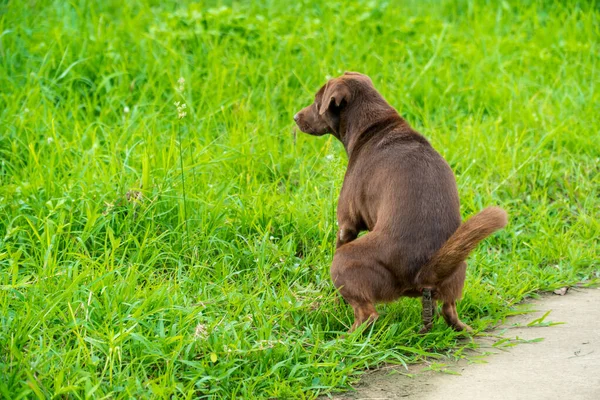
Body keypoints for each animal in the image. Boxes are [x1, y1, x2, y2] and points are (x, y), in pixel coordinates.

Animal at [294, 72, 506, 334]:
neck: (375, 124)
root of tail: (424, 272)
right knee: (450, 310)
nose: (295, 117)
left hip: (344, 261)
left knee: (368, 315)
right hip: (458, 269)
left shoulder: (346, 224)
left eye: (317, 102)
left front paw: (335, 301)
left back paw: (345, 337)